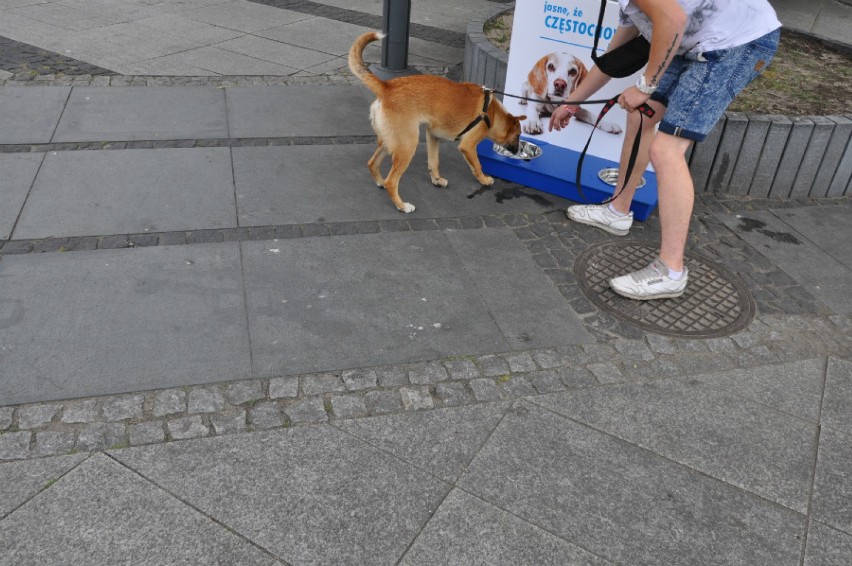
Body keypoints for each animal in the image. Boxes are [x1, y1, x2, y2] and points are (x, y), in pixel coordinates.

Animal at [348, 33, 524, 215]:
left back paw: (381, 182)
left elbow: (433, 162)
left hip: (390, 142)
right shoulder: (468, 146)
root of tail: (386, 87)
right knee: (392, 181)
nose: (519, 151)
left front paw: (437, 180)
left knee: (372, 163)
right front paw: (484, 180)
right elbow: (477, 165)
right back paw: (402, 205)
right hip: (407, 145)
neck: (491, 112)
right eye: (518, 136)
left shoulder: (433, 136)